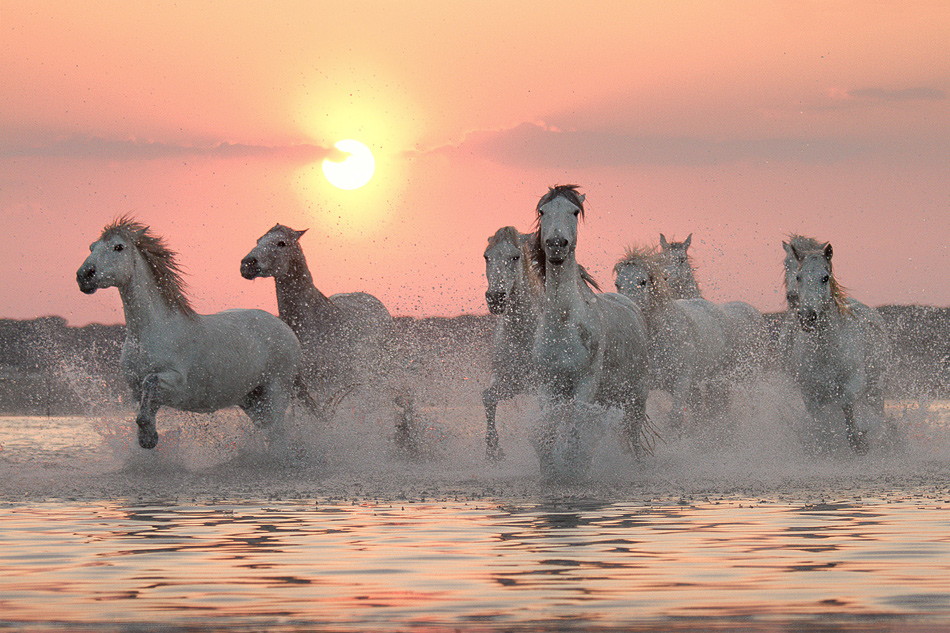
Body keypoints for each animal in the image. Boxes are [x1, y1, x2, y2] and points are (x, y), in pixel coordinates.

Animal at [76, 217, 318, 450]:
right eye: (92, 247)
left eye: (118, 247)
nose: (84, 276)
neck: (150, 332)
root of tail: (287, 330)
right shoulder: (136, 391)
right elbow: (144, 407)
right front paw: (147, 438)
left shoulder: (176, 383)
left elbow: (150, 383)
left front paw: (149, 438)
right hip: (252, 400)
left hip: (276, 392)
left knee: (278, 435)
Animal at [482, 226, 541, 462]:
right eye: (486, 256)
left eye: (515, 257)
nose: (495, 298)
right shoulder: (510, 381)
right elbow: (488, 397)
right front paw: (493, 450)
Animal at [529, 185, 651, 479]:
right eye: (542, 211)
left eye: (574, 211)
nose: (556, 244)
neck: (563, 322)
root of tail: (631, 305)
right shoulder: (549, 385)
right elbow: (548, 434)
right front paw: (552, 472)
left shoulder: (585, 383)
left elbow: (576, 431)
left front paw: (575, 471)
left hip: (637, 395)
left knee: (632, 435)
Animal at [614, 246, 735, 434]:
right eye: (617, 284)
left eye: (643, 281)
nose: (628, 311)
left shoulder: (682, 380)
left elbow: (675, 418)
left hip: (716, 376)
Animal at [785, 239, 892, 454]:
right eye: (799, 277)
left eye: (825, 277)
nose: (807, 316)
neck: (825, 352)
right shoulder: (810, 394)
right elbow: (821, 422)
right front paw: (826, 445)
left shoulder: (854, 382)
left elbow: (847, 403)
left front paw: (858, 441)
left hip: (875, 390)